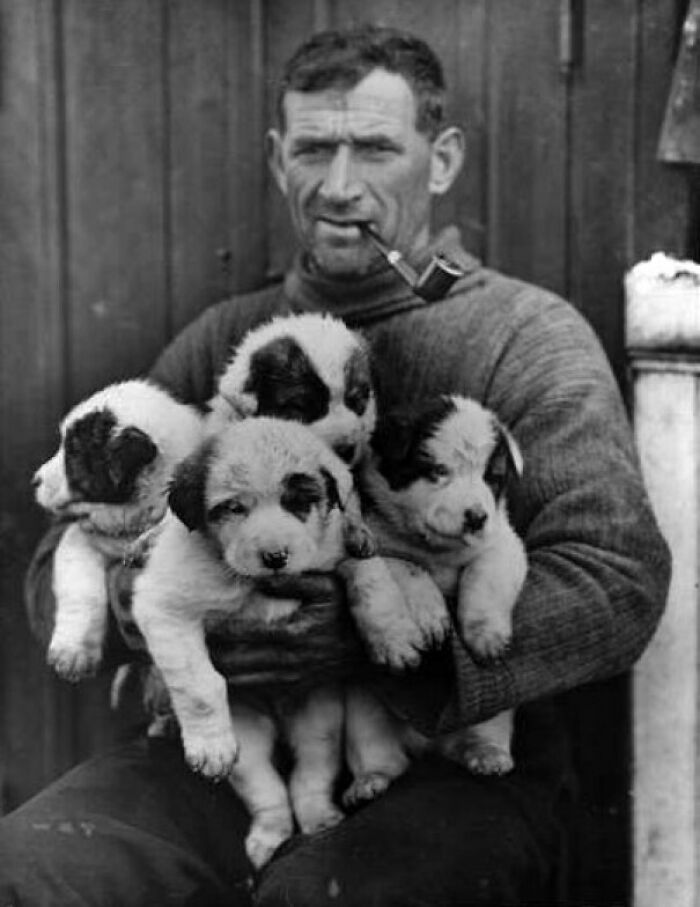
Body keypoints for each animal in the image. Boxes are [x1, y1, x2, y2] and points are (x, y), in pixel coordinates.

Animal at [32, 380, 202, 684]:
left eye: (74, 451)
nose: (34, 481)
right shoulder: (84, 537)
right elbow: (79, 584)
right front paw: (72, 652)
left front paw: (151, 541)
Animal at [129, 414, 374, 868]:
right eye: (233, 508)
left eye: (300, 501)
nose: (275, 557)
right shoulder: (165, 606)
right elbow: (199, 687)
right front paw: (210, 747)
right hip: (249, 736)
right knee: (267, 788)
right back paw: (268, 836)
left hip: (319, 720)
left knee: (311, 773)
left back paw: (319, 819)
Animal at [358, 396, 528, 772]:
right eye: (437, 471)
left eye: (492, 478)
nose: (476, 517)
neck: (437, 549)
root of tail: (432, 745)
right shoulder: (379, 543)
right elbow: (410, 568)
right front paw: (431, 618)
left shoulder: (503, 543)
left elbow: (484, 576)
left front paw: (486, 636)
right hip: (368, 713)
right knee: (374, 742)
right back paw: (372, 777)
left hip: (490, 714)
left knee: (485, 725)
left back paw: (486, 753)